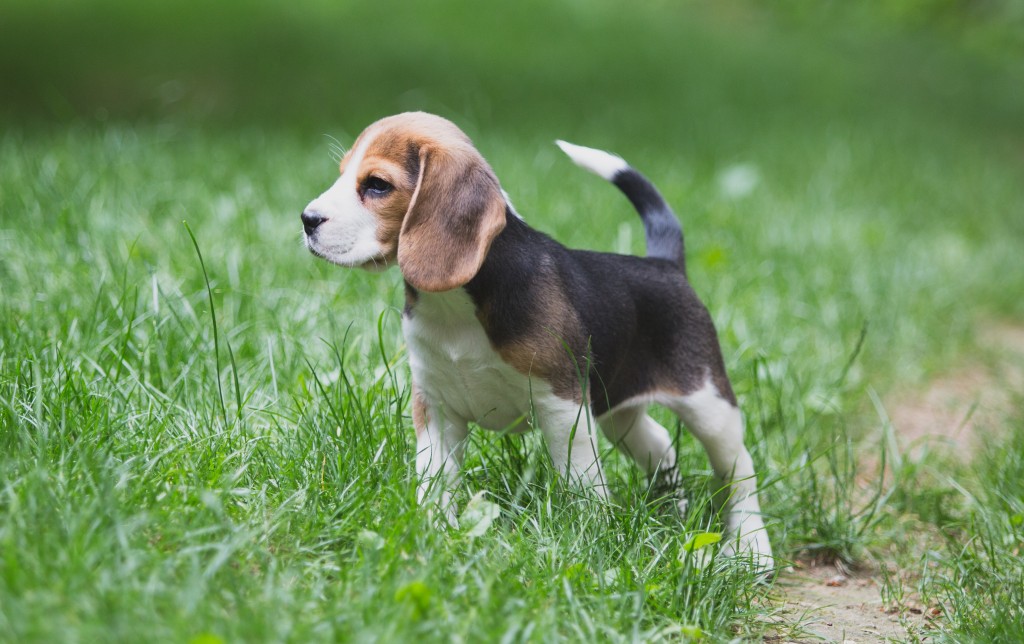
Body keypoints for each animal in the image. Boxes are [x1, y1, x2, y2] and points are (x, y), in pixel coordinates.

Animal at [299, 111, 770, 569]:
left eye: (377, 184)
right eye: (343, 174)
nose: (307, 220)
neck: (457, 304)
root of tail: (665, 264)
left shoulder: (563, 406)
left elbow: (580, 479)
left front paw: (587, 537)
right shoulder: (435, 406)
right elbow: (435, 476)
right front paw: (432, 531)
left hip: (708, 404)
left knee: (739, 471)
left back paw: (750, 547)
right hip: (617, 408)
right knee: (660, 445)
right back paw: (672, 508)